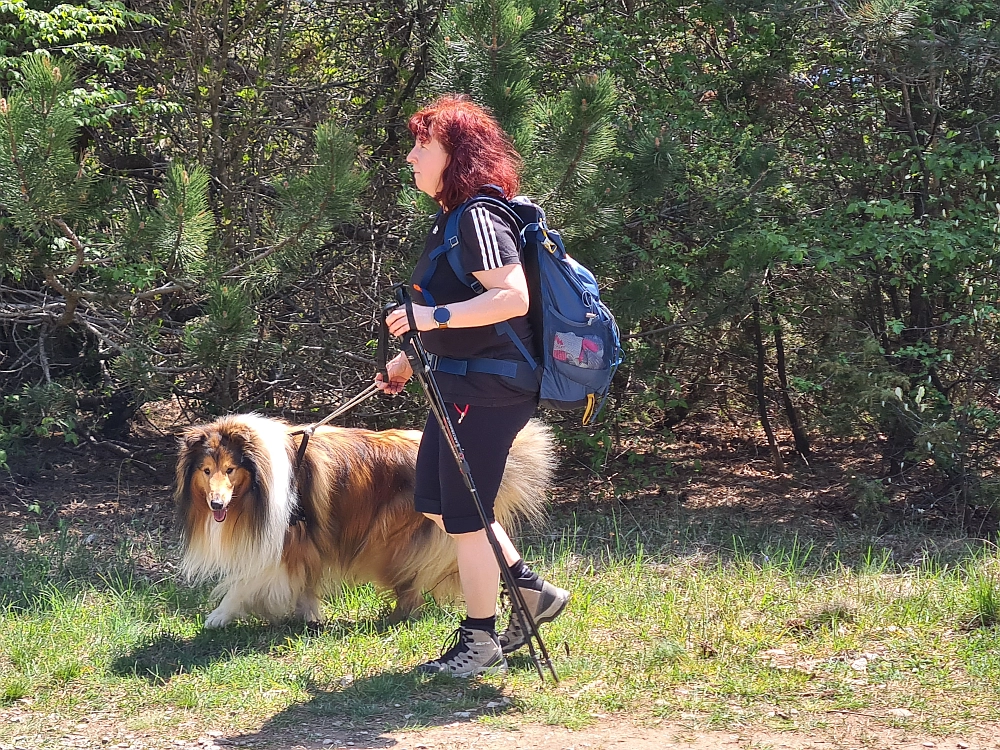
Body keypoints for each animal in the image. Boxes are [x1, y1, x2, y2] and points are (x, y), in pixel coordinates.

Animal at [176, 414, 560, 632]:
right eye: (206, 470)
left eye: (230, 469)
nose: (216, 504)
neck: (260, 477)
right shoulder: (304, 544)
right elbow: (304, 584)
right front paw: (309, 615)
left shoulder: (284, 543)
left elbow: (244, 582)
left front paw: (217, 617)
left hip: (386, 538)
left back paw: (396, 618)